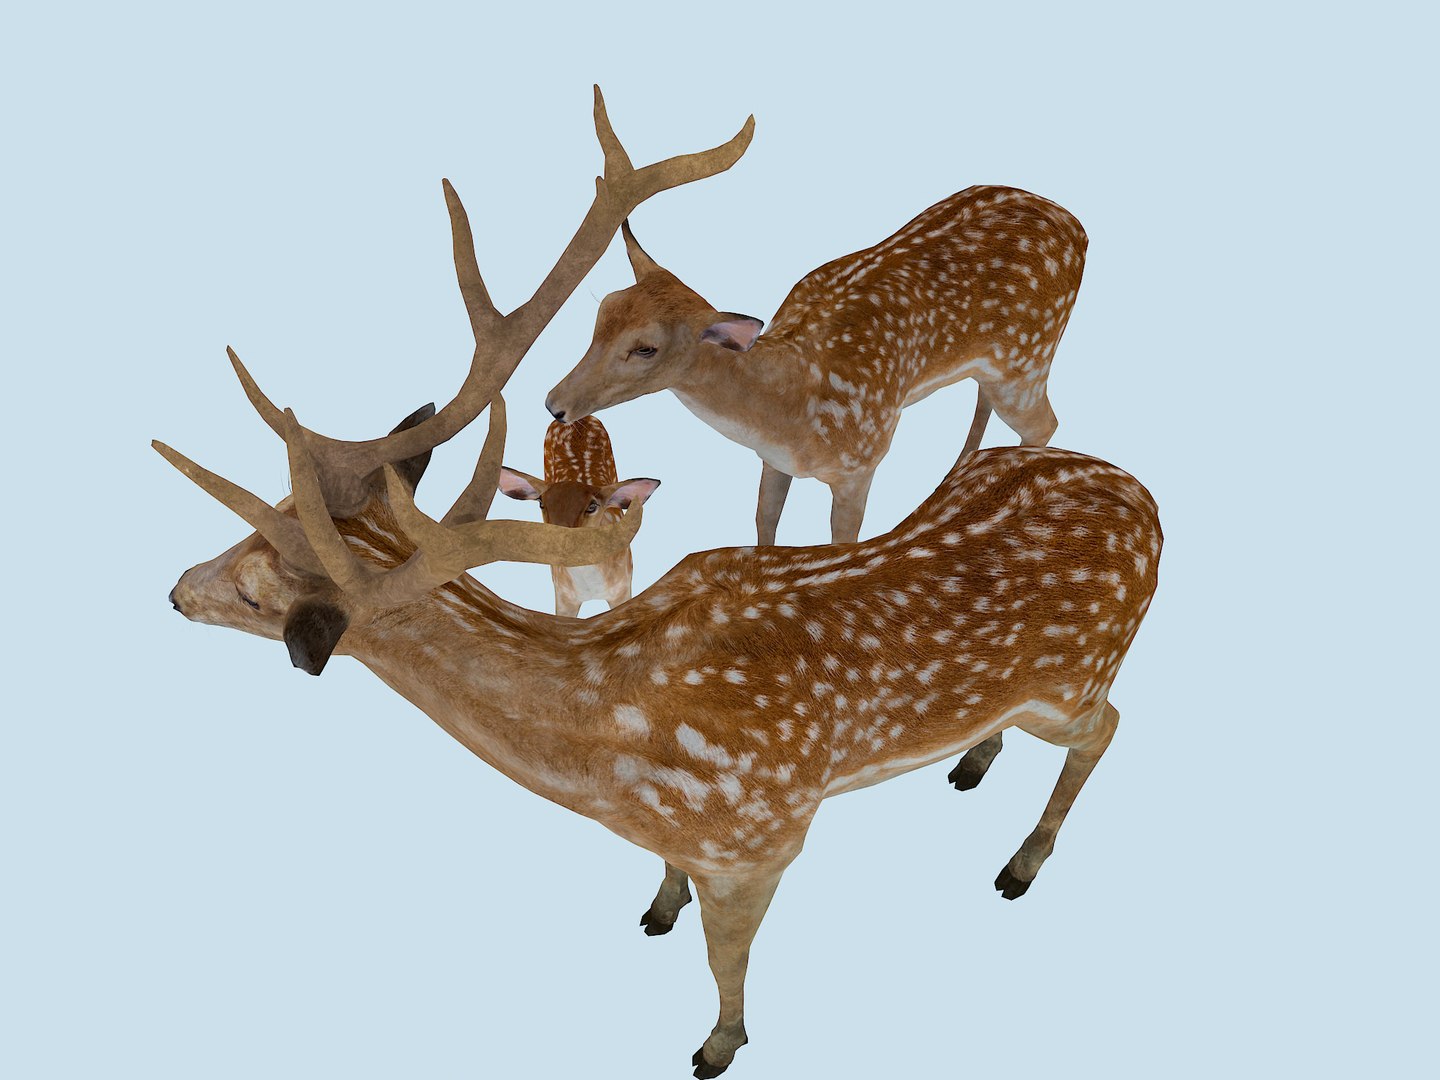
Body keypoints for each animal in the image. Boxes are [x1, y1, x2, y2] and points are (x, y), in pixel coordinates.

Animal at [544, 185, 1088, 545]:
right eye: (603, 310)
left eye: (646, 348)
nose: (554, 404)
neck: (794, 411)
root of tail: (1079, 229)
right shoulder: (772, 459)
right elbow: (764, 519)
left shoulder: (862, 460)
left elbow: (842, 541)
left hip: (1028, 358)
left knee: (1045, 423)